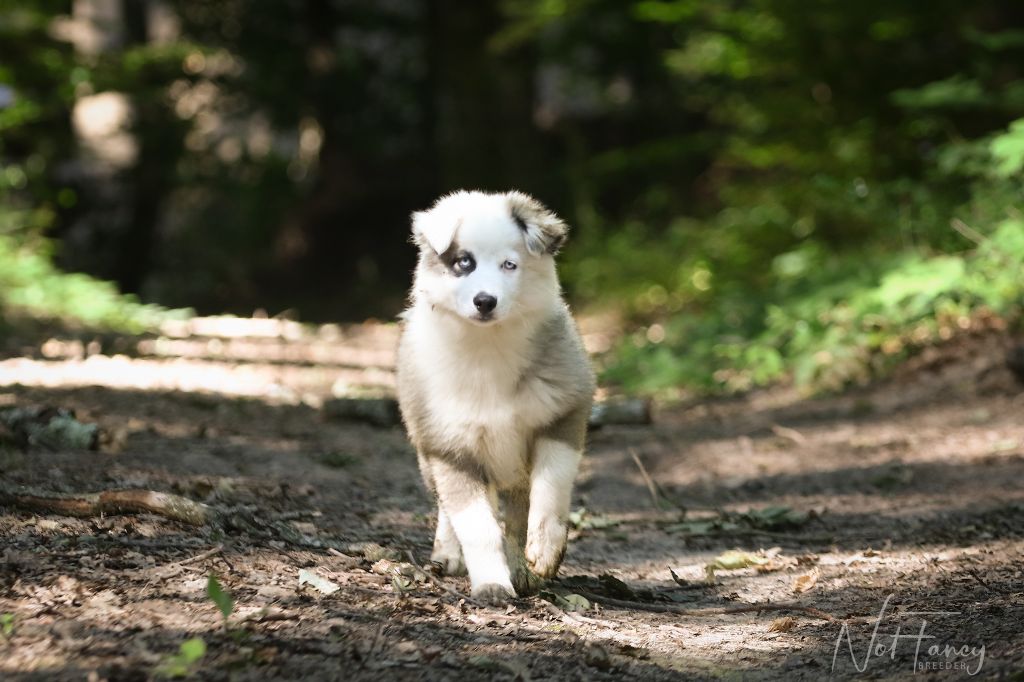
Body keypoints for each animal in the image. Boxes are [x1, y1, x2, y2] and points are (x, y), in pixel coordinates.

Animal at [395, 188, 598, 598]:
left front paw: (544, 550)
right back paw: (449, 555)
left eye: (509, 265)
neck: (488, 347)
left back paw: (522, 567)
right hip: (431, 456)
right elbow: (477, 526)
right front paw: (491, 583)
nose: (485, 301)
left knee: (518, 513)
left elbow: (550, 489)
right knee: (450, 510)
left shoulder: (563, 413)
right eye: (464, 263)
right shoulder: (451, 448)